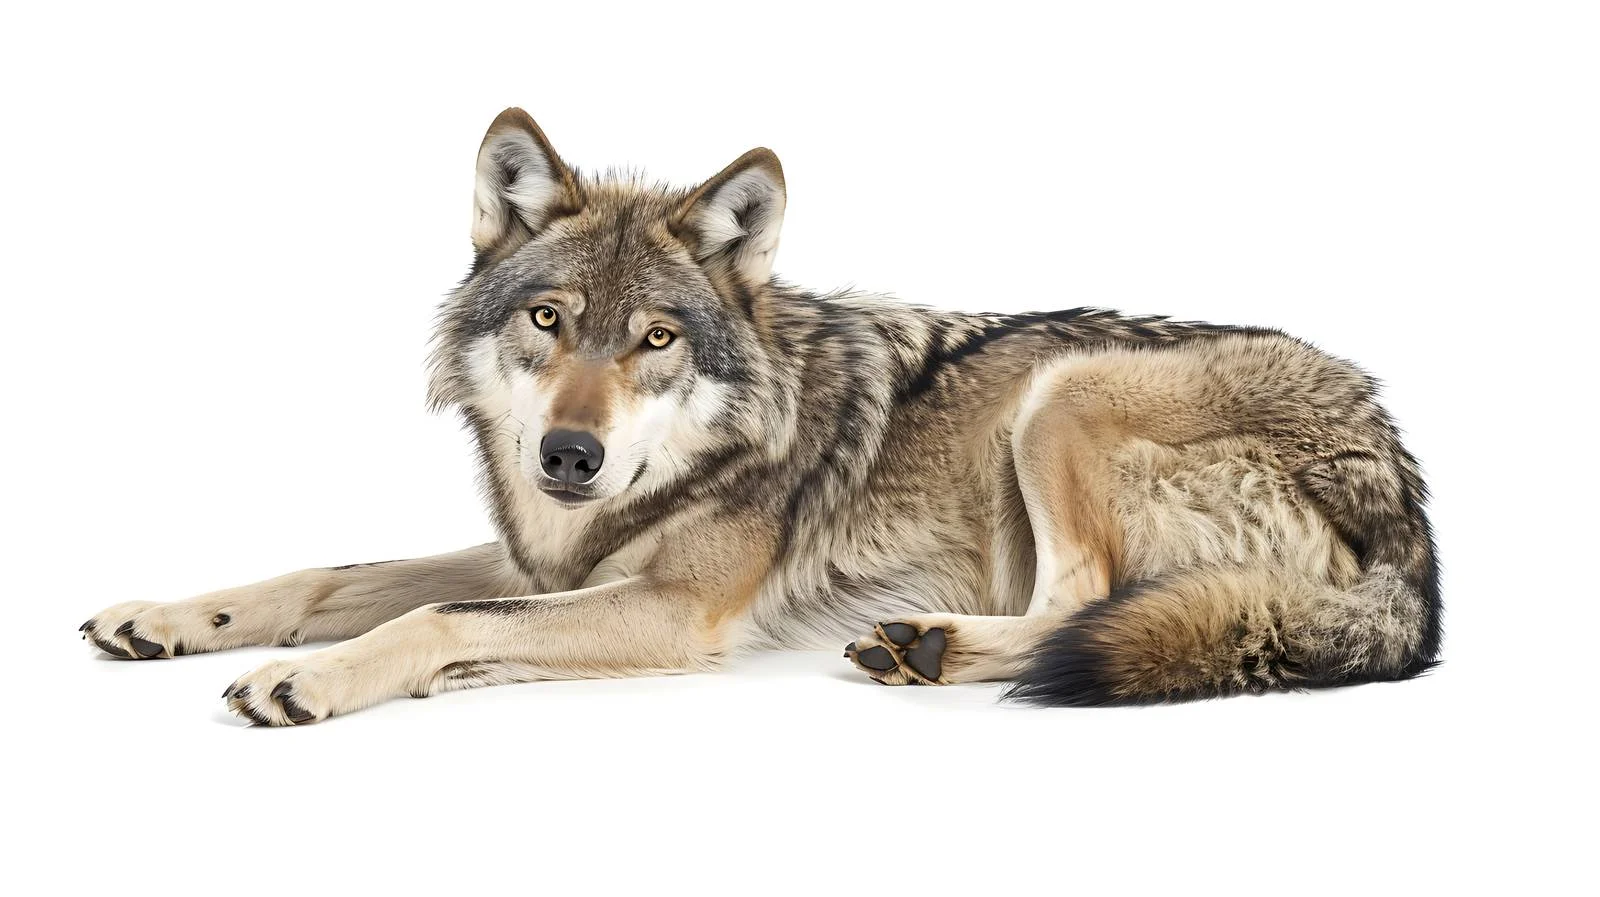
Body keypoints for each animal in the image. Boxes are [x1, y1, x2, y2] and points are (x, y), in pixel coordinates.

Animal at [79, 109, 1441, 724]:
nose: (568, 452)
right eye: (550, 321)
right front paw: (169, 618)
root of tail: (1403, 487)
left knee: (1081, 606)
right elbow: (332, 573)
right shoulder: (545, 557)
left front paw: (304, 676)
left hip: (1064, 393)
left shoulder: (669, 607)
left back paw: (930, 646)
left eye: (656, 339)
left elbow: (435, 615)